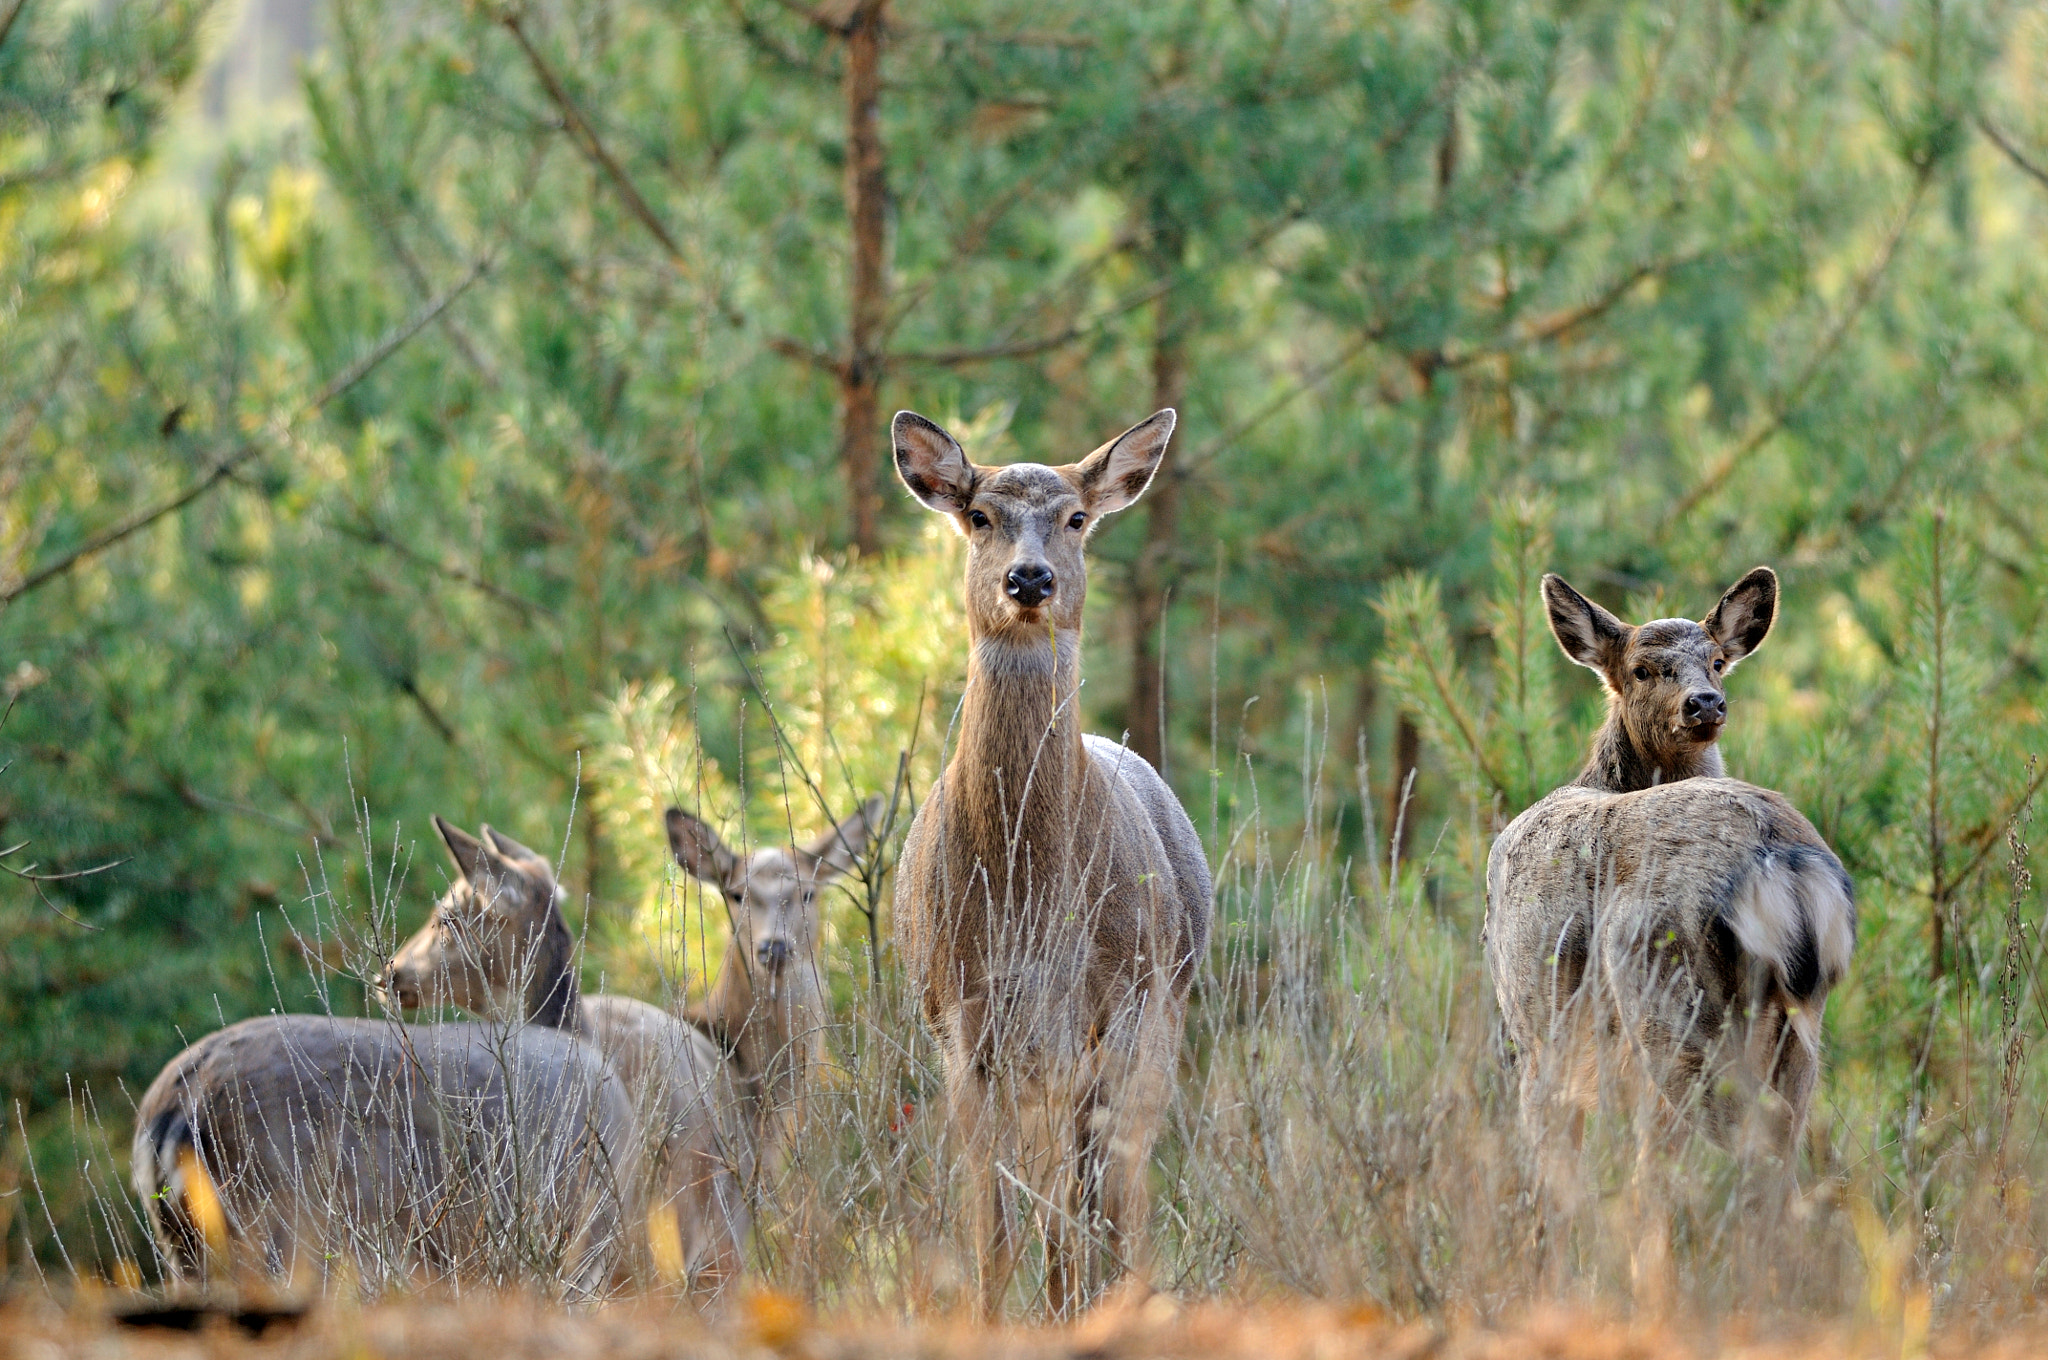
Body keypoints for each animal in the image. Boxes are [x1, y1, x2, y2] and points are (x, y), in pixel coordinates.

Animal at [888, 405, 1204, 1319]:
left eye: (1076, 518)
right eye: (978, 515)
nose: (1029, 581)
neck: (1030, 893)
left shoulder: (1117, 1009)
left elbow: (1082, 1207)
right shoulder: (962, 1018)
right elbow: (991, 1219)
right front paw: (991, 1319)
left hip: (1161, 1015)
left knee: (1116, 1195)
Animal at [1490, 565, 1859, 1155]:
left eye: (1717, 661)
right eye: (1640, 670)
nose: (1705, 702)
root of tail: (1777, 856)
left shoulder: (1533, 1035)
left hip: (1663, 985)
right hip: (1802, 1015)